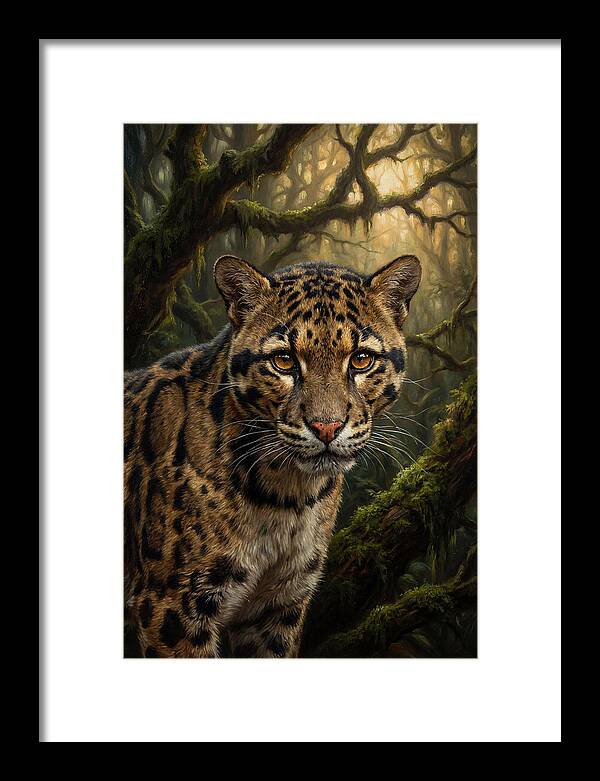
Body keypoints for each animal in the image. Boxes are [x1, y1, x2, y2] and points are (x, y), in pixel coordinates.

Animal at [124, 254, 421, 657]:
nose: (326, 427)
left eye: (361, 360)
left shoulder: (279, 604)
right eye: (283, 361)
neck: (287, 495)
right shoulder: (172, 603)